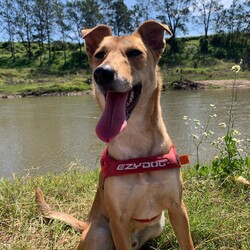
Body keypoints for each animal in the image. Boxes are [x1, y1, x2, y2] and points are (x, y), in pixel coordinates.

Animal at [36, 20, 194, 250]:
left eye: (135, 52)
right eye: (100, 54)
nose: (102, 73)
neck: (137, 140)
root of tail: (86, 224)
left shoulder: (177, 208)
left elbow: (187, 243)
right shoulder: (118, 220)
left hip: (158, 224)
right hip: (99, 232)